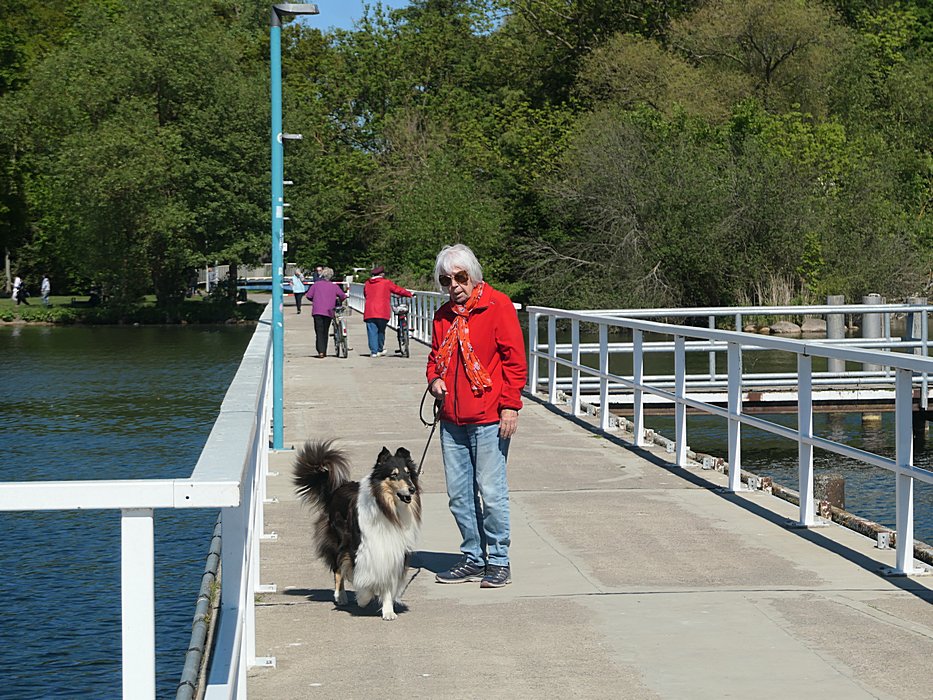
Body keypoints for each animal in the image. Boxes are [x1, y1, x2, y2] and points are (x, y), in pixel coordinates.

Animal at [293, 440, 422, 620]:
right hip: (338, 541)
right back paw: (341, 596)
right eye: (394, 475)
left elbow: (387, 580)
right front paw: (363, 598)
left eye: (408, 474)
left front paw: (388, 611)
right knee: (338, 569)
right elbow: (361, 576)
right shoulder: (359, 546)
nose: (412, 489)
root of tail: (336, 489)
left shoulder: (392, 548)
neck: (387, 509)